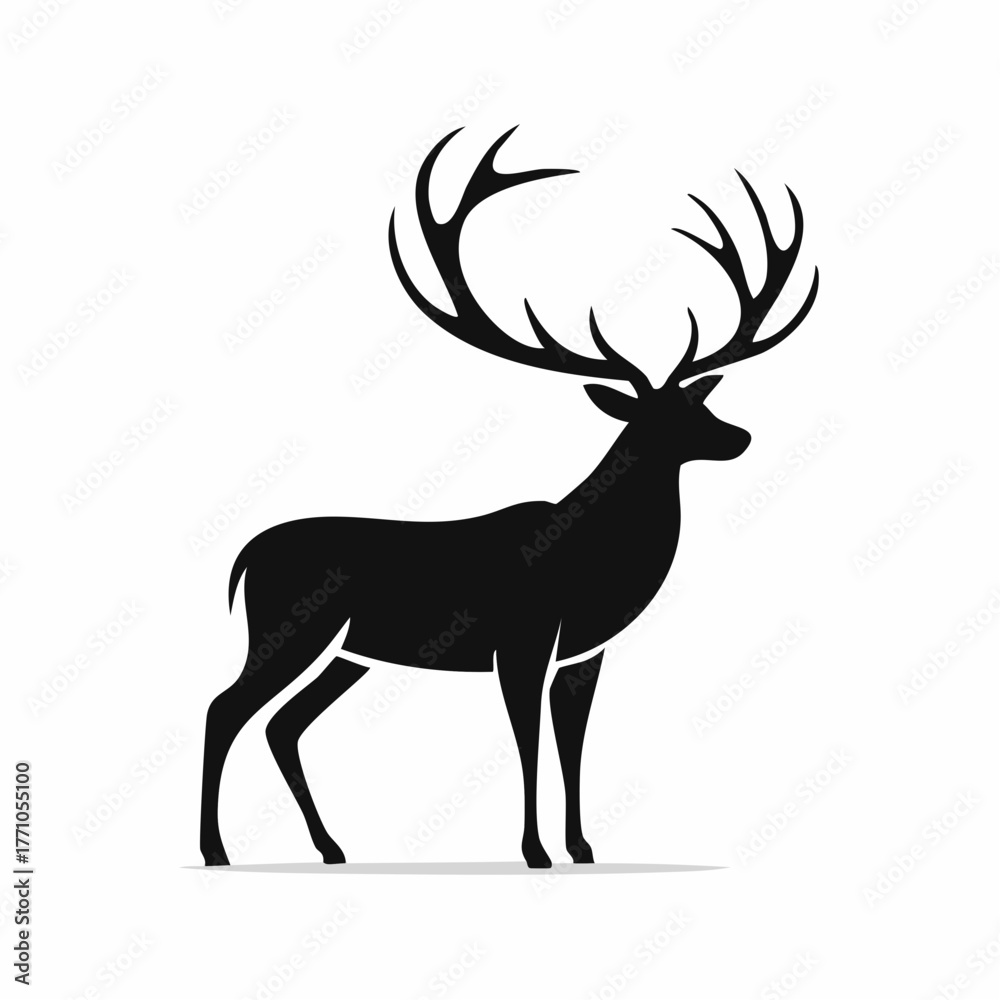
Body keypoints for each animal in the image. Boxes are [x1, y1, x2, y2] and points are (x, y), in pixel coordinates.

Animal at [199, 126, 819, 870]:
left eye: (697, 406)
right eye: (657, 420)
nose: (741, 436)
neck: (597, 563)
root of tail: (245, 557)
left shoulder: (583, 653)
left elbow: (571, 741)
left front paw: (582, 846)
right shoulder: (522, 637)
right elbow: (527, 741)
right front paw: (534, 850)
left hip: (350, 650)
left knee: (283, 724)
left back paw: (331, 846)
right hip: (290, 627)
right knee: (226, 708)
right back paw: (216, 849)